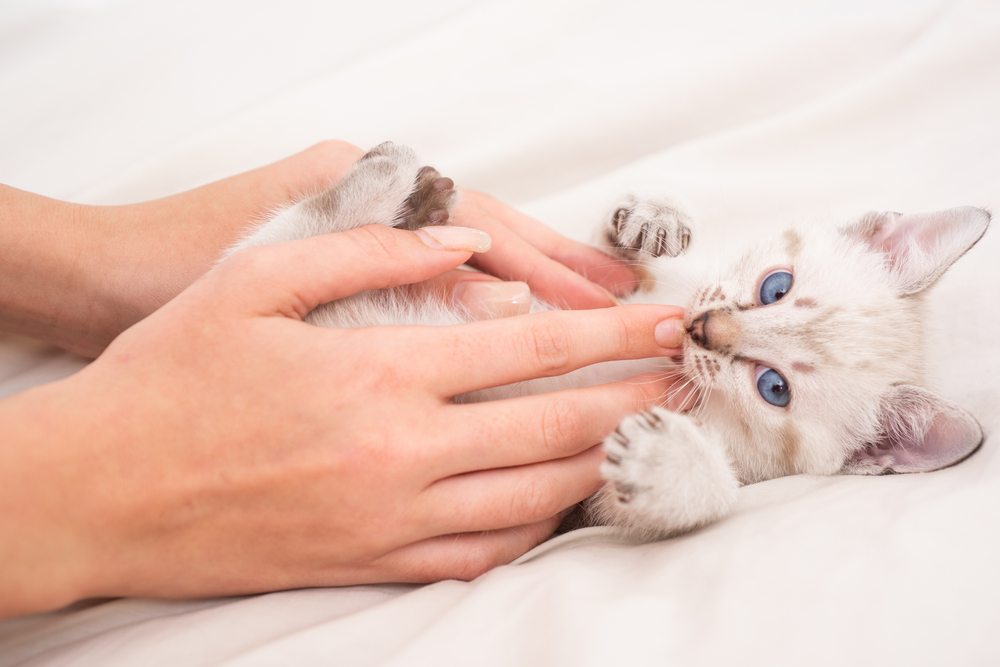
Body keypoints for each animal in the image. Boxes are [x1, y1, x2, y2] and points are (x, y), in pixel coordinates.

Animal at [230, 144, 988, 540]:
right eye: (776, 286)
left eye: (774, 388)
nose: (702, 329)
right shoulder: (622, 290)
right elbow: (613, 259)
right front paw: (651, 217)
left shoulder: (592, 507)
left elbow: (708, 496)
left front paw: (674, 464)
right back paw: (406, 196)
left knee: (274, 242)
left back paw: (392, 184)